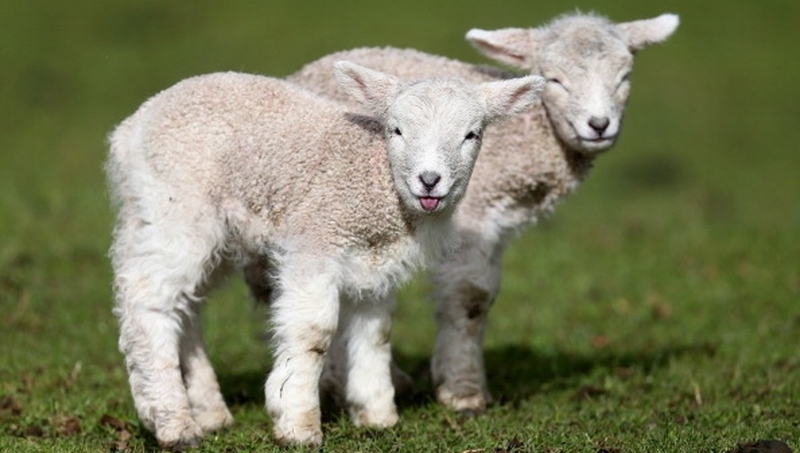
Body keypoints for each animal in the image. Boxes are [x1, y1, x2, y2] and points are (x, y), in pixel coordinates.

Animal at [106, 60, 544, 448]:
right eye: (397, 130)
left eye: (471, 134)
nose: (430, 181)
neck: (375, 181)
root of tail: (129, 129)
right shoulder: (314, 242)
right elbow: (313, 334)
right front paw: (297, 423)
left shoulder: (377, 264)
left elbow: (376, 333)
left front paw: (376, 415)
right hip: (176, 208)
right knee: (148, 299)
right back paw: (173, 424)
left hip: (200, 228)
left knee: (187, 305)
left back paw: (210, 412)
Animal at [287, 12, 680, 414]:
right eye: (555, 80)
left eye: (625, 77)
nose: (599, 125)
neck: (526, 134)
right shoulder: (472, 216)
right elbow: (470, 296)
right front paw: (463, 390)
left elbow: (485, 293)